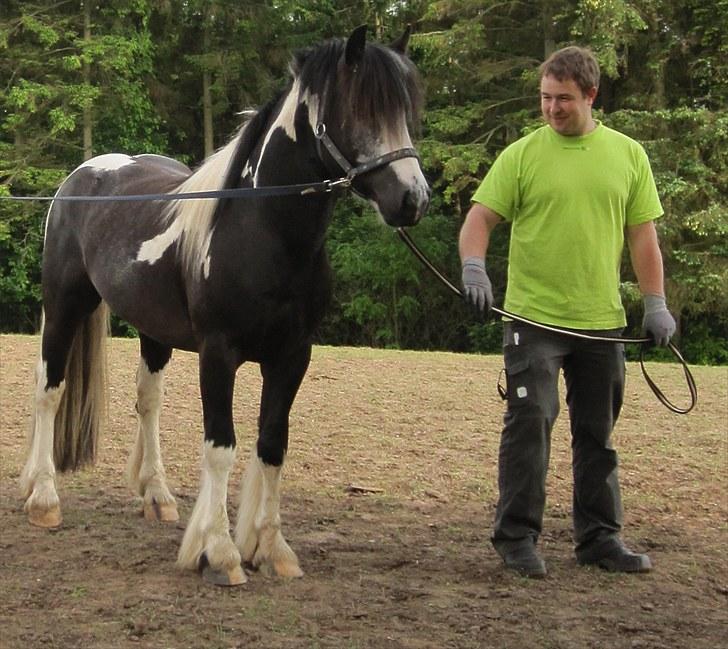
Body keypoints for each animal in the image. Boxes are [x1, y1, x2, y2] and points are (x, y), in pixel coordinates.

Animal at [19, 25, 430, 584]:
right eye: (361, 109)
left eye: (405, 110)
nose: (413, 199)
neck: (262, 232)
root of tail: (80, 179)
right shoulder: (219, 353)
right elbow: (220, 446)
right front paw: (219, 550)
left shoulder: (292, 356)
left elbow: (272, 444)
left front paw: (271, 547)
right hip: (64, 307)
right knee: (50, 391)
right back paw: (43, 498)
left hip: (154, 334)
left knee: (147, 402)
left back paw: (157, 496)